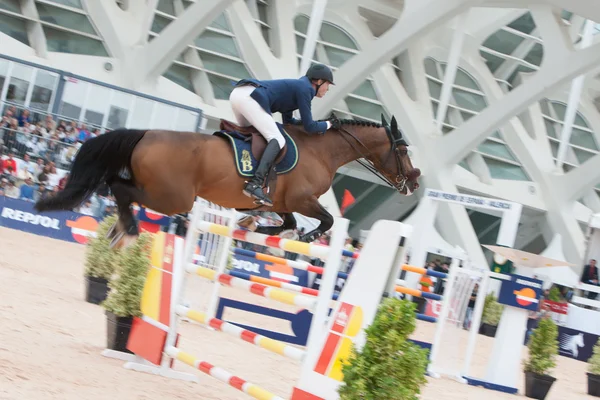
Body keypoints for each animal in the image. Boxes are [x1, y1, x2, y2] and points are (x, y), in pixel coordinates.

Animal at [35, 113, 420, 247]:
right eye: (403, 149)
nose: (414, 182)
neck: (322, 149)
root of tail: (145, 133)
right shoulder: (302, 200)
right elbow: (324, 221)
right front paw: (306, 238)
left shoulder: (283, 202)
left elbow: (283, 223)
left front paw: (251, 226)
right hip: (173, 198)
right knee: (119, 188)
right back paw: (128, 230)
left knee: (115, 184)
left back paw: (118, 231)